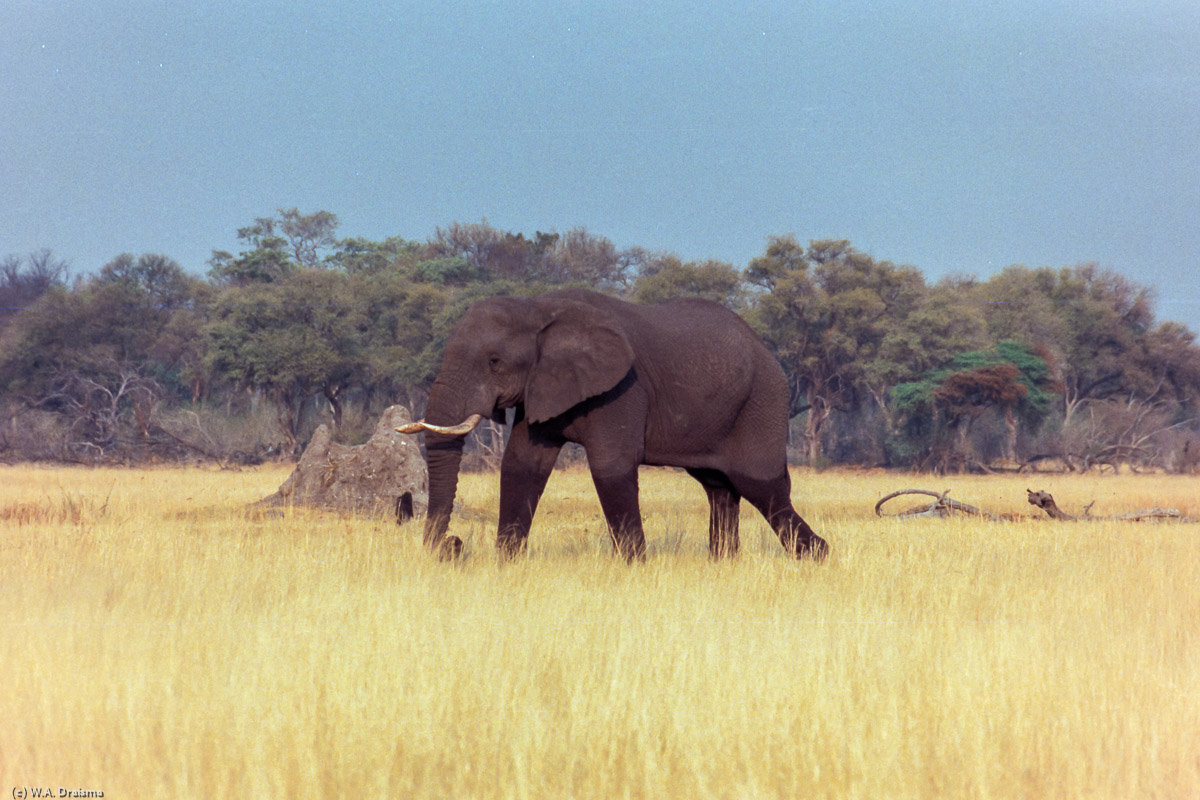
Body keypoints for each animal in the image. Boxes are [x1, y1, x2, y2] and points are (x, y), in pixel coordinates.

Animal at [398, 287, 830, 563]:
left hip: (762, 401)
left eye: (494, 362)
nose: (452, 546)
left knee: (761, 486)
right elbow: (522, 465)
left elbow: (610, 466)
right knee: (720, 487)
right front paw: (508, 563)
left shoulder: (622, 388)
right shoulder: (543, 387)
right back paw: (724, 563)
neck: (539, 308)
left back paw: (817, 556)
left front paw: (635, 567)